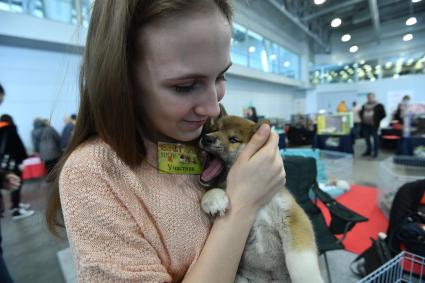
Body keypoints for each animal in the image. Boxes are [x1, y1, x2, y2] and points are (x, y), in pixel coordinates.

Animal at [199, 115, 322, 283]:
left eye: (233, 139)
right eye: (214, 129)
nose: (207, 138)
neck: (257, 206)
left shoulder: (291, 214)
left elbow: (301, 264)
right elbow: (211, 194)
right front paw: (214, 199)